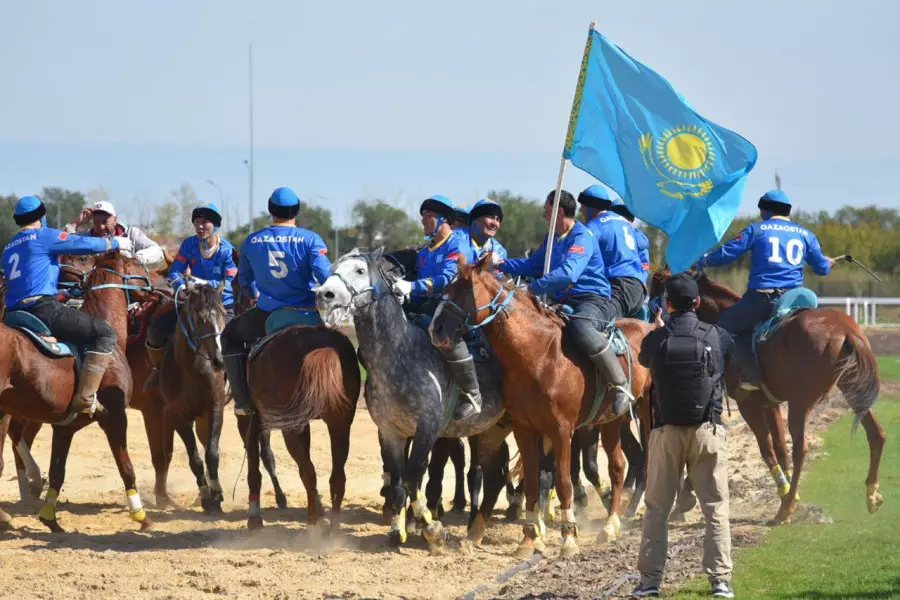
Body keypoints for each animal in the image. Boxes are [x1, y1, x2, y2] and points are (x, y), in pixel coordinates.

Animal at [0, 251, 155, 532]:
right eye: (137, 262)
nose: (160, 282)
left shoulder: (65, 428)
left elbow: (57, 472)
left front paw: (49, 519)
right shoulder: (116, 418)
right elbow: (126, 467)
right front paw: (141, 516)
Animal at [246, 324, 362, 536]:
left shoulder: (255, 416)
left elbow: (253, 460)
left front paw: (254, 519)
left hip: (293, 428)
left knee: (308, 472)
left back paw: (312, 525)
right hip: (340, 423)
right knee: (337, 476)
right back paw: (333, 529)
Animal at [316, 248, 512, 552]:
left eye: (360, 270)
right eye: (334, 267)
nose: (324, 294)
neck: (398, 356)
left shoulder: (428, 430)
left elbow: (413, 478)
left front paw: (433, 530)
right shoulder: (390, 432)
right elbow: (398, 483)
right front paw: (398, 530)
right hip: (490, 430)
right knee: (495, 476)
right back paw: (475, 533)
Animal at [428, 251, 652, 556]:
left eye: (465, 288)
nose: (435, 329)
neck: (539, 354)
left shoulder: (562, 430)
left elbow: (564, 482)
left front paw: (569, 538)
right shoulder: (526, 428)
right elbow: (533, 483)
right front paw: (529, 539)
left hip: (647, 413)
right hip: (612, 421)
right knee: (617, 466)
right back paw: (610, 525)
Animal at [652, 270, 884, 524]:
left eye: (656, 294)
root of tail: (845, 330)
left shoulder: (748, 405)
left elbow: (766, 449)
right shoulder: (770, 405)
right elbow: (780, 447)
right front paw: (787, 492)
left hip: (801, 401)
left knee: (801, 448)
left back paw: (785, 509)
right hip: (852, 389)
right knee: (876, 434)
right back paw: (871, 494)